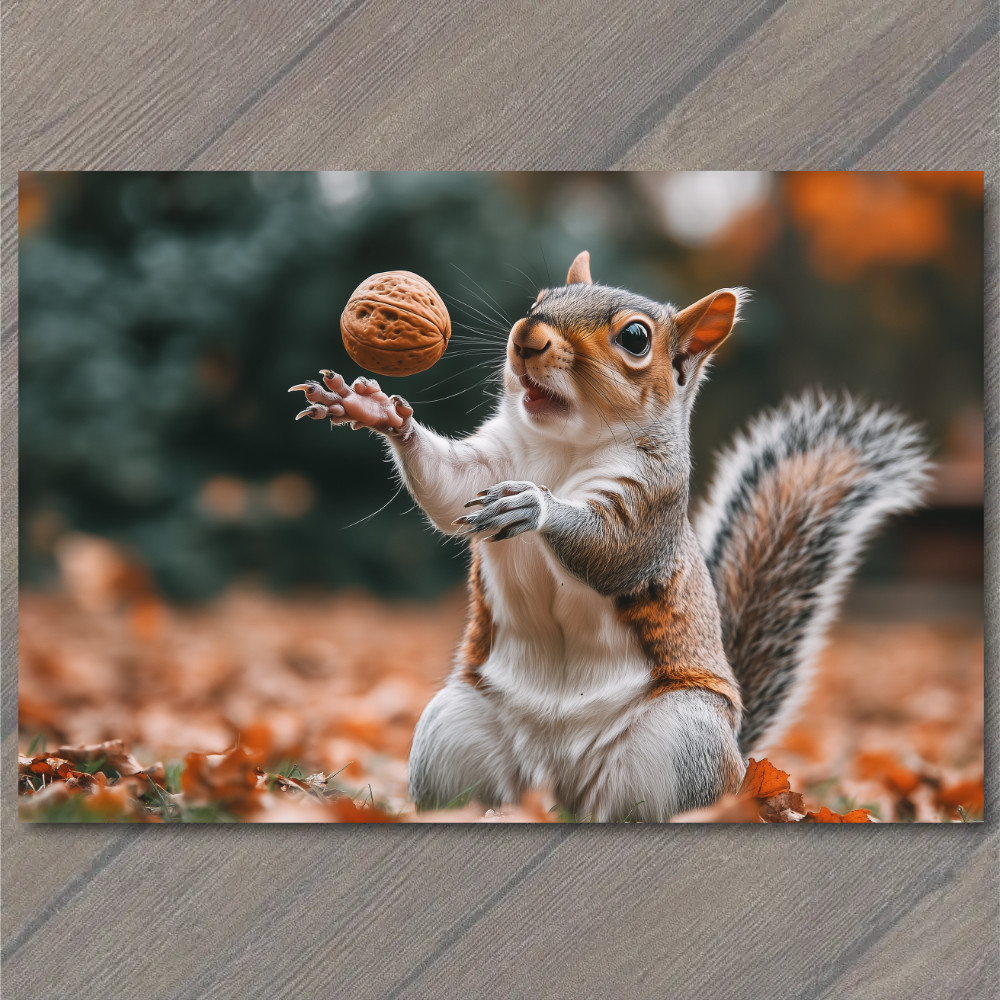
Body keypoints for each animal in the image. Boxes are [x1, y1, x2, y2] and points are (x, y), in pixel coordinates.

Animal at [290, 251, 930, 821]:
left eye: (636, 338)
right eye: (539, 299)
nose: (526, 336)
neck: (561, 448)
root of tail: (557, 786)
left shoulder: (653, 501)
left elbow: (615, 551)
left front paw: (535, 506)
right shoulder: (490, 463)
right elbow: (450, 490)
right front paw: (371, 409)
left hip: (684, 739)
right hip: (453, 729)